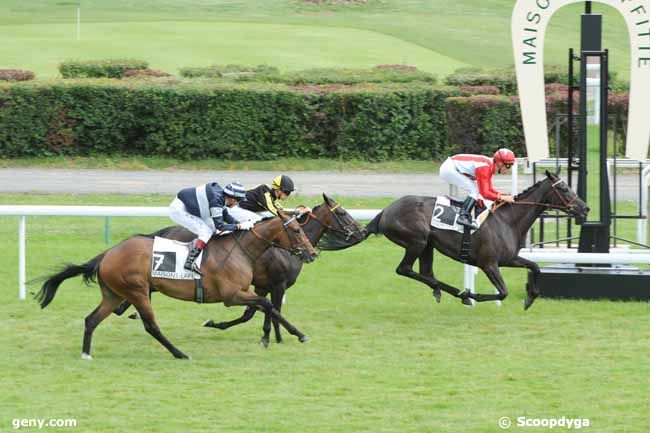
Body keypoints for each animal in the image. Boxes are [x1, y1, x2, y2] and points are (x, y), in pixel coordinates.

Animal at [36, 211, 318, 360]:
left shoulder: (247, 291)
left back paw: (86, 353)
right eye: (295, 231)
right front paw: (293, 334)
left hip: (113, 294)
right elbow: (267, 303)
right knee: (151, 325)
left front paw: (290, 335)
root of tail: (107, 254)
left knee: (91, 319)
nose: (312, 253)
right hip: (137, 291)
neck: (241, 250)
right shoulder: (232, 295)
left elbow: (267, 306)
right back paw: (179, 353)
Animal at [113, 194, 362, 346]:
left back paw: (129, 309)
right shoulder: (276, 285)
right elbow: (270, 310)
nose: (360, 232)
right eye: (342, 214)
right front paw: (277, 337)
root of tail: (164, 231)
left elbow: (255, 312)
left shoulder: (260, 286)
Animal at [364, 170, 588, 308]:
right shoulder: (488, 263)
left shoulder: (508, 259)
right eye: (564, 188)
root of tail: (385, 211)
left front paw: (530, 298)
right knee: (404, 269)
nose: (585, 208)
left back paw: (444, 291)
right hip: (416, 241)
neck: (507, 220)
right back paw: (461, 293)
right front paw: (474, 295)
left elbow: (535, 266)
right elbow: (503, 292)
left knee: (426, 273)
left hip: (427, 244)